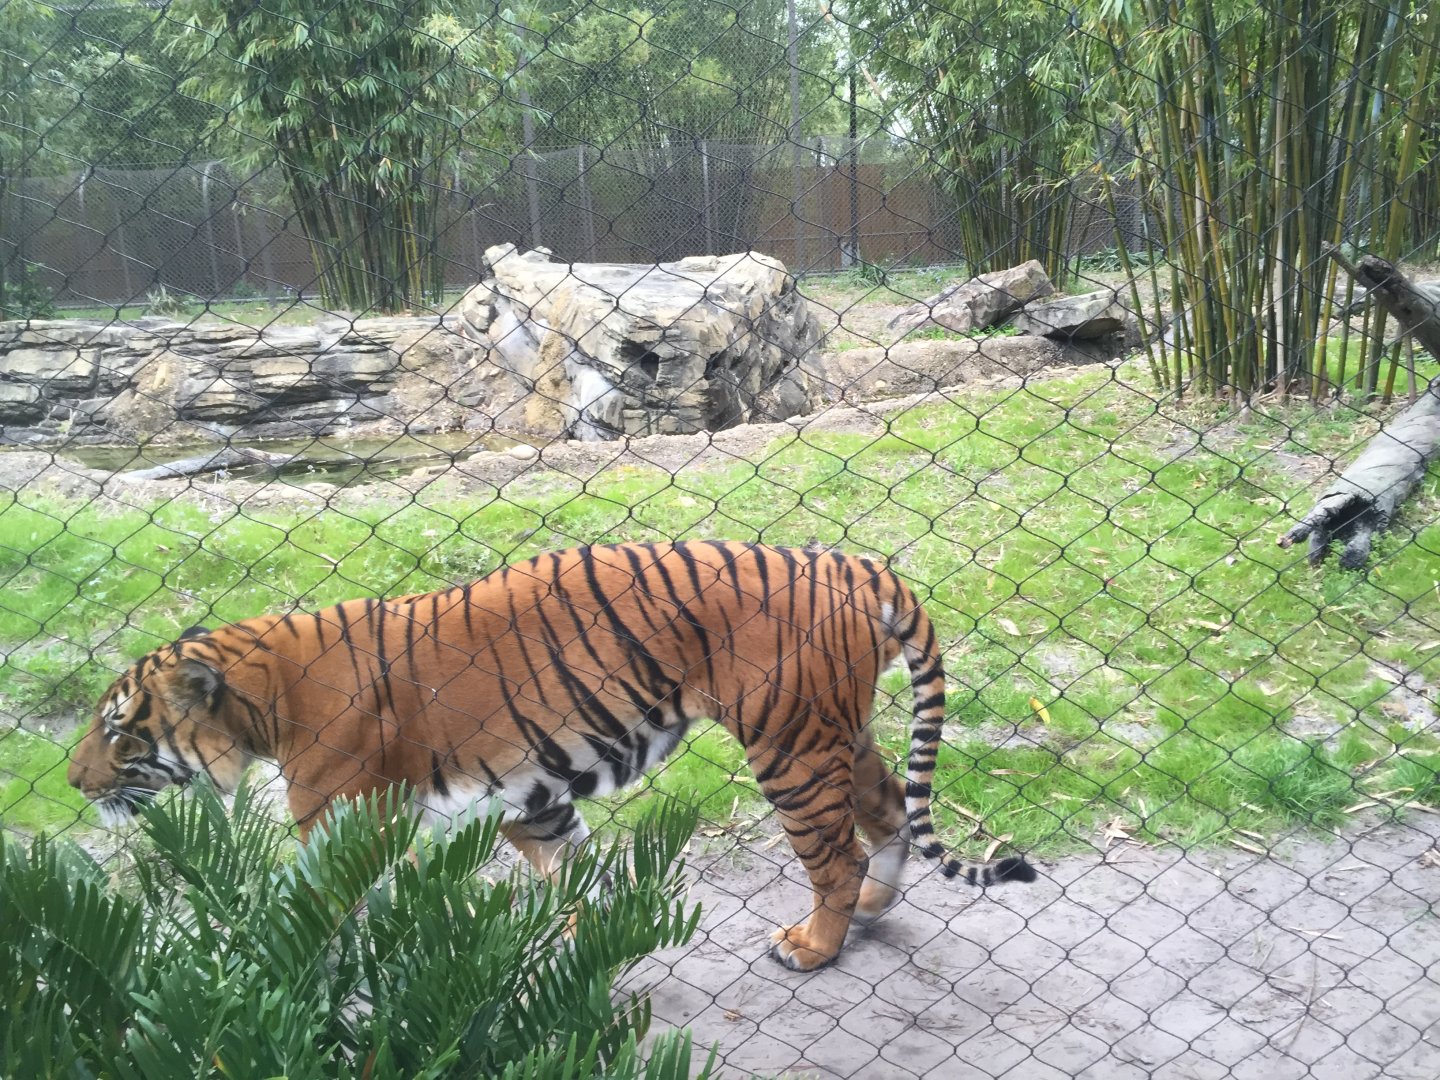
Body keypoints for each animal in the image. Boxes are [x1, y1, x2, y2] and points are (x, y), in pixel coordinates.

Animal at [69, 540, 1036, 970]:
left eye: (119, 731)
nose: (75, 782)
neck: (262, 696)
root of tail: (849, 562)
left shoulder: (346, 823)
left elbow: (324, 911)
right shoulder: (532, 798)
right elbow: (574, 874)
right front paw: (591, 943)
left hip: (788, 745)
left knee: (835, 853)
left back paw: (815, 944)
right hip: (834, 730)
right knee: (887, 814)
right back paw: (872, 910)